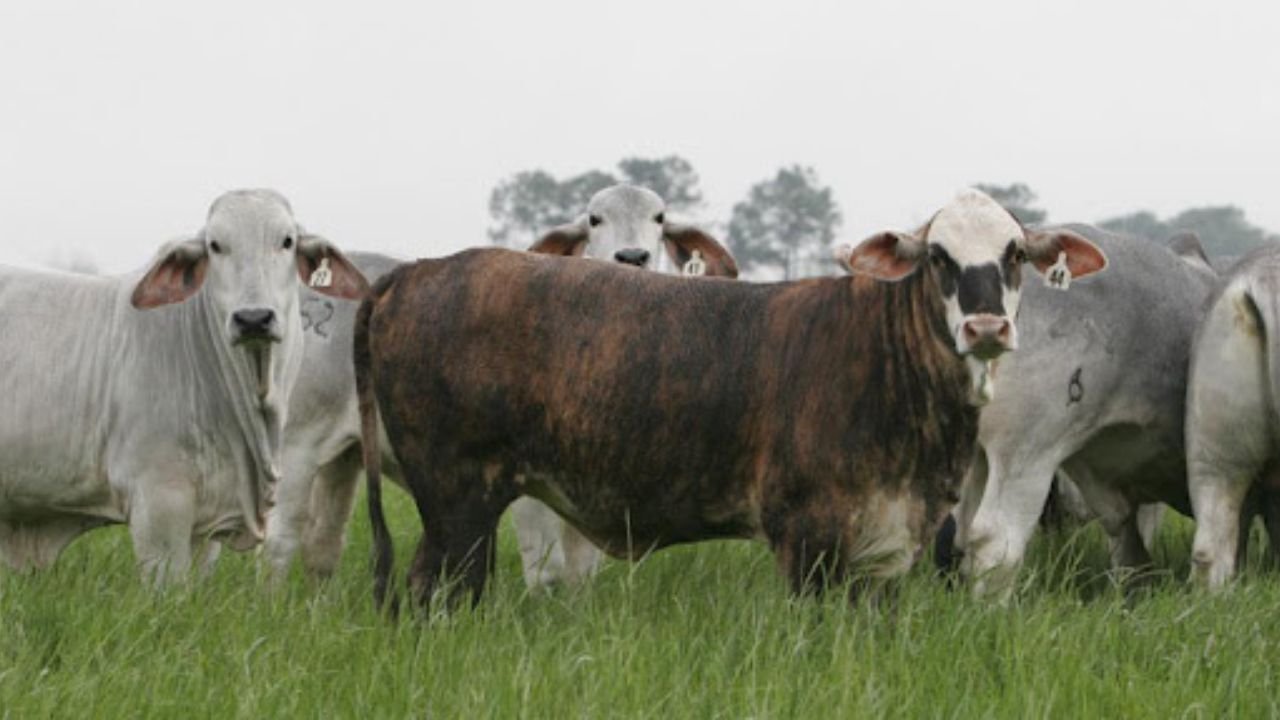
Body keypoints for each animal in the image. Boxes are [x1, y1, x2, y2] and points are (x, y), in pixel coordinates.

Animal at [261, 185, 739, 587]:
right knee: (280, 540)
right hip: (297, 445)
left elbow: (580, 573)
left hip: (345, 455)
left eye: (659, 217)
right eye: (595, 218)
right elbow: (547, 570)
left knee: (323, 543)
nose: (633, 255)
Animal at [354, 189, 1107, 609]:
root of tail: (417, 271)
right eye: (939, 257)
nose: (986, 327)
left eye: (1014, 254)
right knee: (433, 591)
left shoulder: (887, 546)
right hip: (457, 503)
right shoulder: (808, 535)